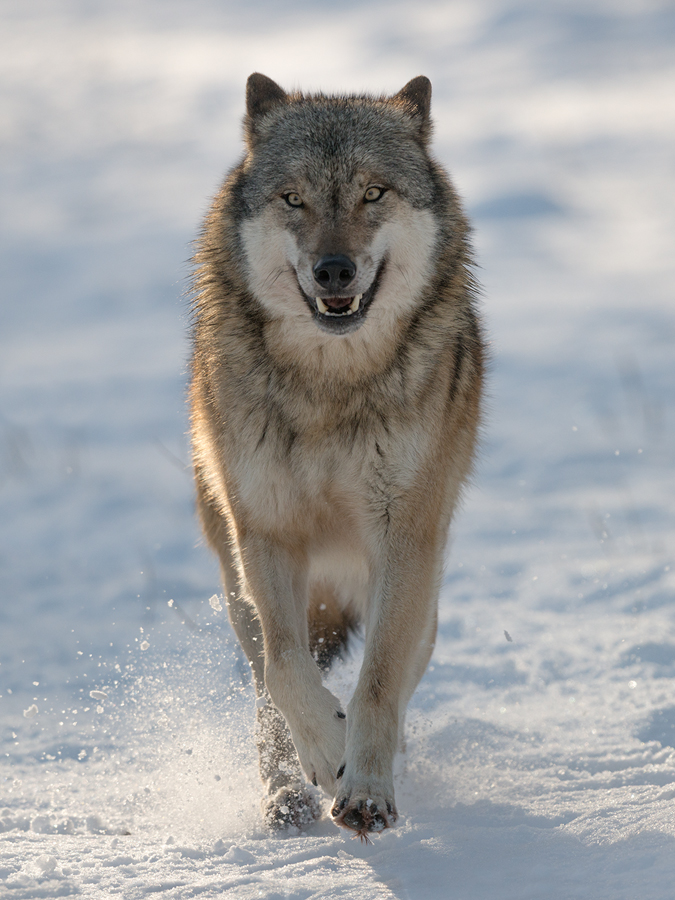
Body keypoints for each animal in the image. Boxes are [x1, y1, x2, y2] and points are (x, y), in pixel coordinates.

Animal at [189, 74, 486, 840]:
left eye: (373, 193)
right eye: (294, 198)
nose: (333, 270)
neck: (328, 385)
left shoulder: (404, 537)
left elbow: (378, 678)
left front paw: (367, 791)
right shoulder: (264, 535)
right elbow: (287, 666)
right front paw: (326, 751)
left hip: (424, 592)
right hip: (235, 579)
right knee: (265, 680)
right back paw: (287, 797)